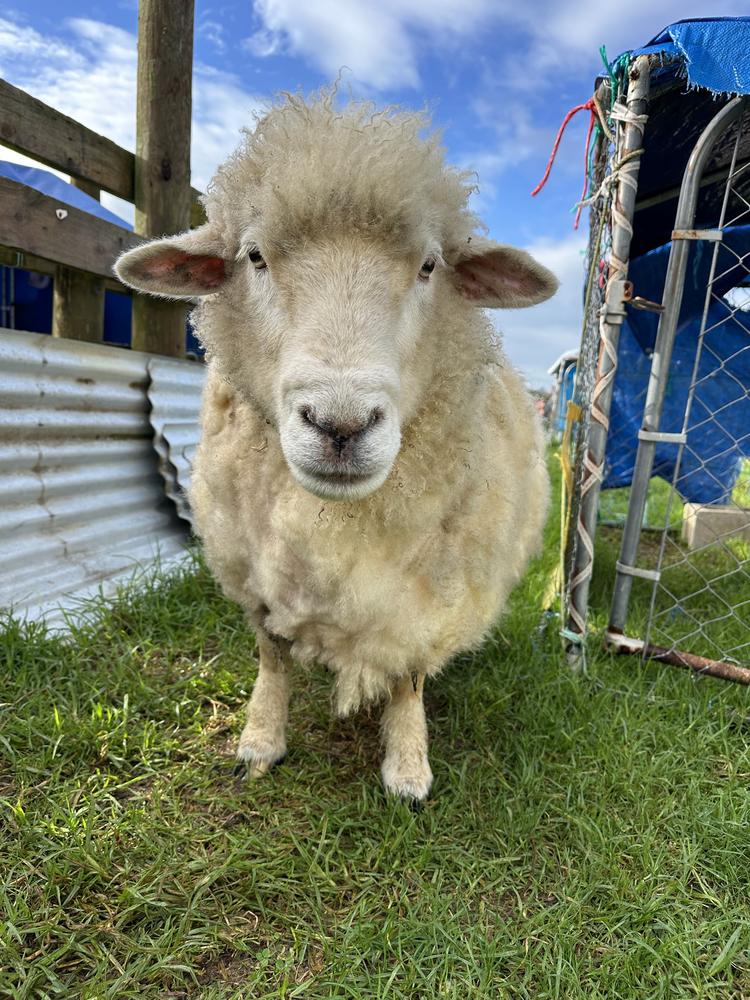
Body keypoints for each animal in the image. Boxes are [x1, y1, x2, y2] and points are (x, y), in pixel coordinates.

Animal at [115, 92, 557, 801]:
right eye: (255, 257)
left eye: (429, 265)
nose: (341, 425)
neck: (335, 519)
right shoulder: (251, 569)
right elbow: (271, 657)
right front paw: (260, 740)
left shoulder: (432, 593)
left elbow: (408, 675)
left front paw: (407, 764)